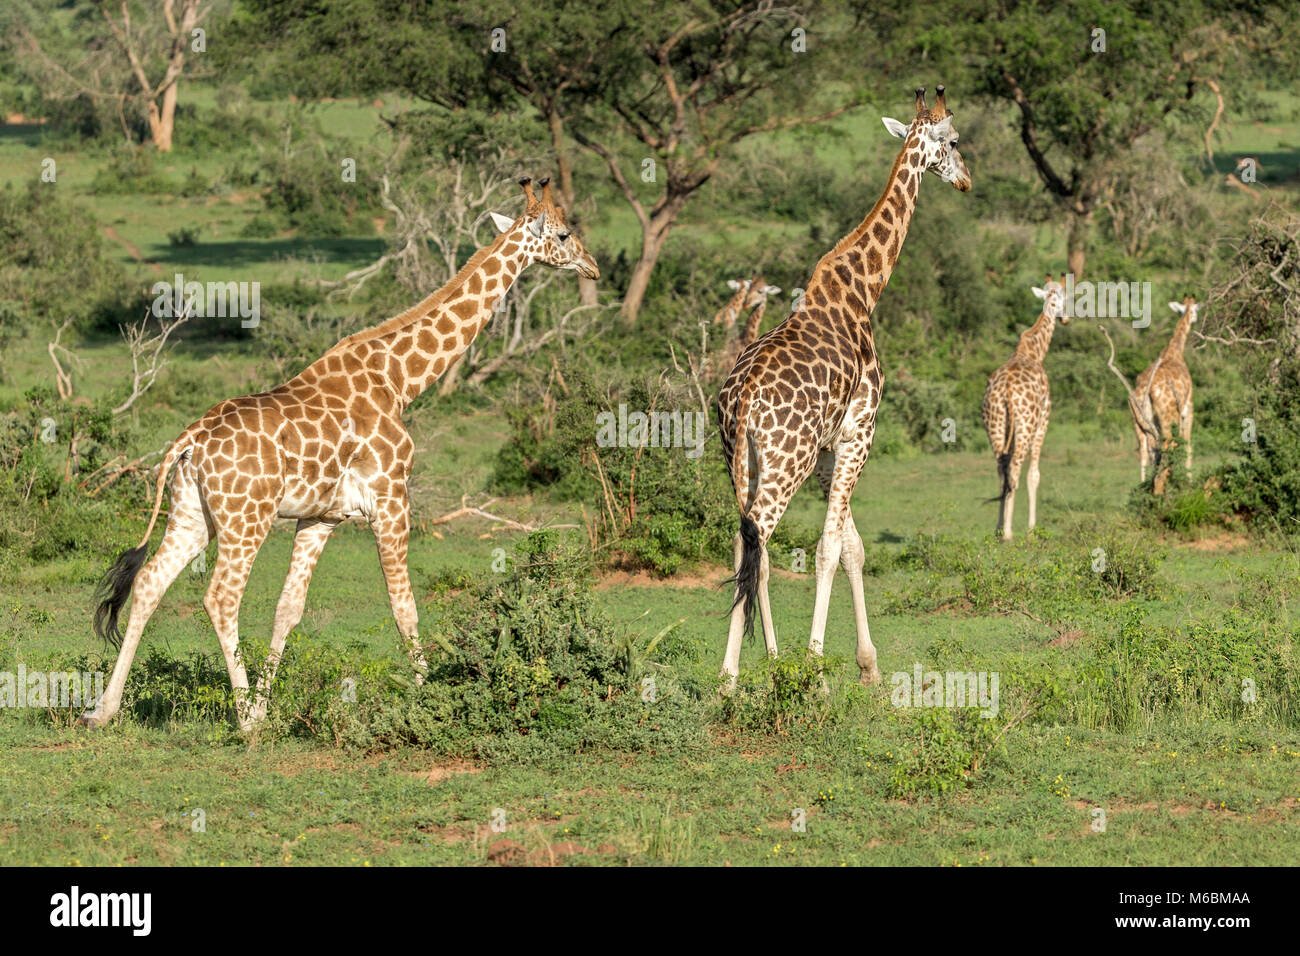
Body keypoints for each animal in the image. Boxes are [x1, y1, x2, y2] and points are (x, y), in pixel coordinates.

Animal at [86, 177, 598, 733]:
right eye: (564, 233)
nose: (592, 266)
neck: (399, 381)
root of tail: (188, 442)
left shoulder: (321, 517)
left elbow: (289, 609)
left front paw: (267, 705)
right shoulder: (391, 499)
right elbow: (404, 605)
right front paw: (427, 699)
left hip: (192, 514)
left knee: (150, 583)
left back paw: (105, 710)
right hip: (247, 519)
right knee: (220, 598)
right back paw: (242, 721)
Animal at [716, 86, 971, 688]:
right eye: (953, 141)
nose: (966, 181)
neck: (863, 291)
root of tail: (741, 402)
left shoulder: (832, 448)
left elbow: (853, 546)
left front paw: (868, 665)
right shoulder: (860, 431)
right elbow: (829, 546)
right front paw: (818, 667)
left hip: (742, 463)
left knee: (745, 545)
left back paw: (751, 670)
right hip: (785, 464)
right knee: (761, 541)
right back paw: (739, 675)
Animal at [981, 275, 1070, 540]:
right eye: (1067, 298)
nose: (1066, 319)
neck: (1034, 352)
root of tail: (1007, 390)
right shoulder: (1043, 423)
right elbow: (1034, 475)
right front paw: (1032, 528)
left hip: (995, 425)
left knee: (1001, 472)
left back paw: (1000, 529)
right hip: (1025, 426)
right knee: (1015, 470)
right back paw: (1009, 533)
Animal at [1131, 296, 1197, 484]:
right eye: (1195, 310)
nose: (1195, 318)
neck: (1174, 351)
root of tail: (1147, 389)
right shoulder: (1188, 407)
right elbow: (1187, 443)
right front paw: (1189, 480)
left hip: (1139, 419)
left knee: (1145, 450)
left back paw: (1146, 486)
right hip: (1169, 416)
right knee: (1167, 445)